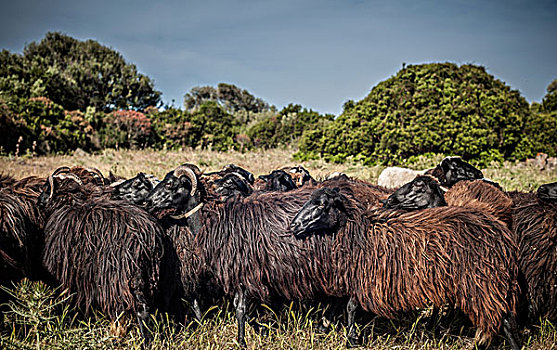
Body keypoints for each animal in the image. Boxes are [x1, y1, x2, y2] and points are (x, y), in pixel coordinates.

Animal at [292, 187, 520, 348]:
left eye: (322, 204)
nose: (293, 225)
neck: (361, 232)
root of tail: (502, 236)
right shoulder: (361, 277)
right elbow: (345, 305)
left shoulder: (366, 277)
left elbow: (350, 307)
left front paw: (351, 340)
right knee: (505, 318)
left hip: (481, 282)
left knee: (501, 319)